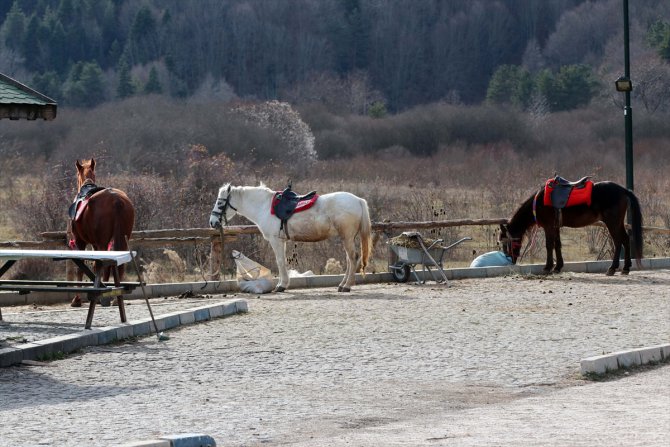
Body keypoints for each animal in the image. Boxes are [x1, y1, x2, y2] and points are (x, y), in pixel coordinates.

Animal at [70, 158, 135, 308]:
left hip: (102, 242)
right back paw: (115, 296)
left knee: (104, 264)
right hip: (122, 239)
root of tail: (117, 200)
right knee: (118, 264)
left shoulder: (80, 241)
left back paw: (106, 298)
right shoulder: (95, 244)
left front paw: (77, 299)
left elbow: (81, 268)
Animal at [210, 183, 372, 292]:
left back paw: (347, 286)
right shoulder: (282, 241)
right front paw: (283, 284)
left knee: (352, 258)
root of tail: (358, 200)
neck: (264, 207)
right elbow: (282, 262)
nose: (212, 222)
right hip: (347, 238)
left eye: (220, 202)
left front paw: (281, 286)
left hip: (347, 237)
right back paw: (342, 284)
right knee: (349, 259)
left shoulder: (275, 240)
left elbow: (280, 261)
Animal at [502, 180, 644, 274]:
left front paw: (548, 267)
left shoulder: (548, 227)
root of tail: (624, 190)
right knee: (625, 239)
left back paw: (613, 268)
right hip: (618, 223)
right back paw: (626, 268)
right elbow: (557, 245)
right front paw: (558, 267)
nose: (509, 258)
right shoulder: (555, 227)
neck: (539, 202)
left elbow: (549, 245)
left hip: (612, 223)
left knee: (618, 241)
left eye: (505, 240)